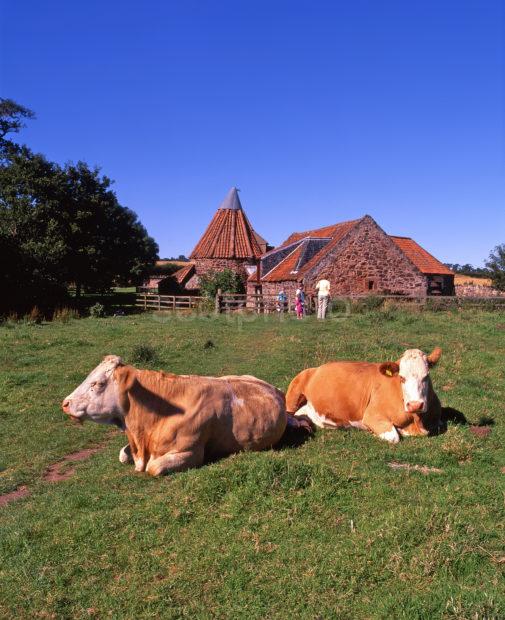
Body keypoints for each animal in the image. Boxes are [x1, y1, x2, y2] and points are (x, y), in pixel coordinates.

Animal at [61, 354, 310, 474]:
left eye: (98, 383)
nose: (65, 403)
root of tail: (270, 386)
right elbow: (123, 455)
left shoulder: (191, 452)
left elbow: (153, 468)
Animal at [286, 346, 442, 444]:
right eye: (402, 378)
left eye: (426, 376)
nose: (415, 405)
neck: (416, 421)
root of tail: (316, 368)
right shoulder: (372, 415)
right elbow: (393, 437)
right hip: (293, 394)